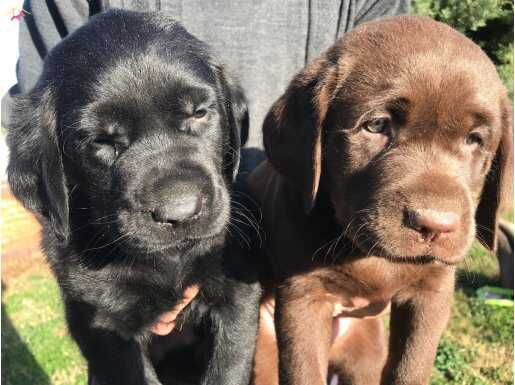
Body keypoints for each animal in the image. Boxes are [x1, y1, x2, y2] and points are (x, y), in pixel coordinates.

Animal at [6, 9, 260, 384]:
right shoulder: (103, 322)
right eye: (101, 141)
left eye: (200, 112)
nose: (180, 211)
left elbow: (229, 365)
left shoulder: (237, 289)